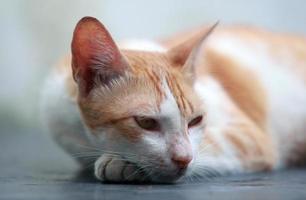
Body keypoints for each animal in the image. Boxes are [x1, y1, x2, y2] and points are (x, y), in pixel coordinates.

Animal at [40, 16, 306, 183]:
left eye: (196, 120)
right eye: (146, 122)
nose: (183, 160)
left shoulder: (249, 137)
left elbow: (210, 144)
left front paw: (120, 163)